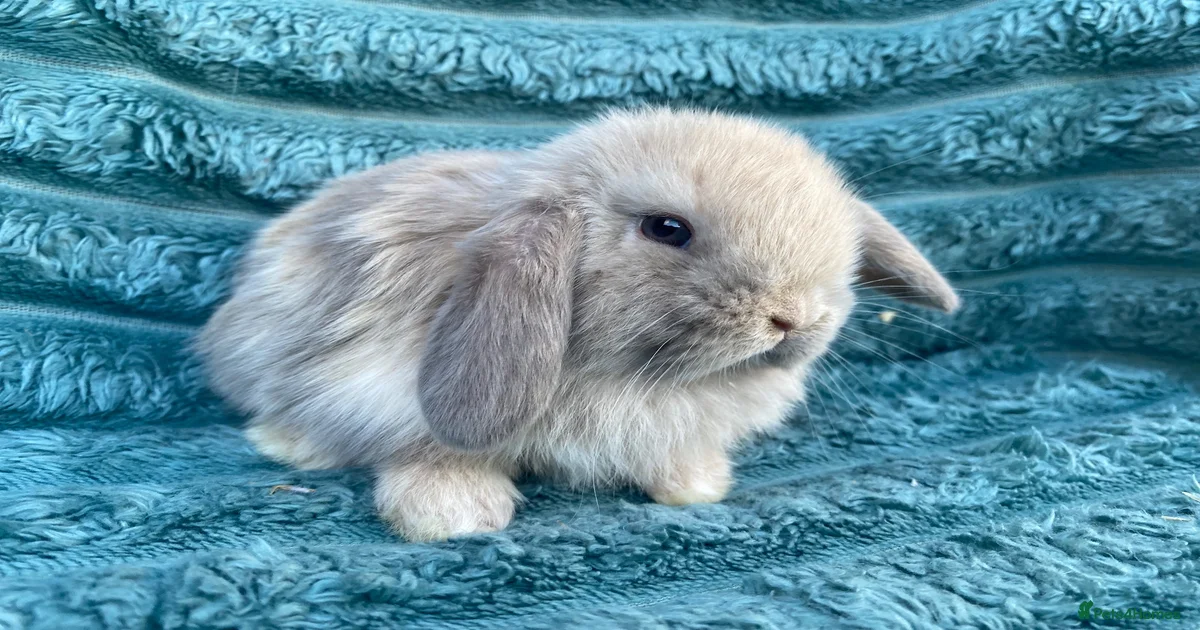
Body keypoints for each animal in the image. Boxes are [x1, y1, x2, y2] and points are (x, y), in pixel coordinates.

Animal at [197, 107, 959, 542]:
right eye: (666, 229)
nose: (793, 316)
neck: (627, 375)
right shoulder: (379, 393)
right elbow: (431, 455)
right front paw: (454, 519)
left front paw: (697, 488)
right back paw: (290, 445)